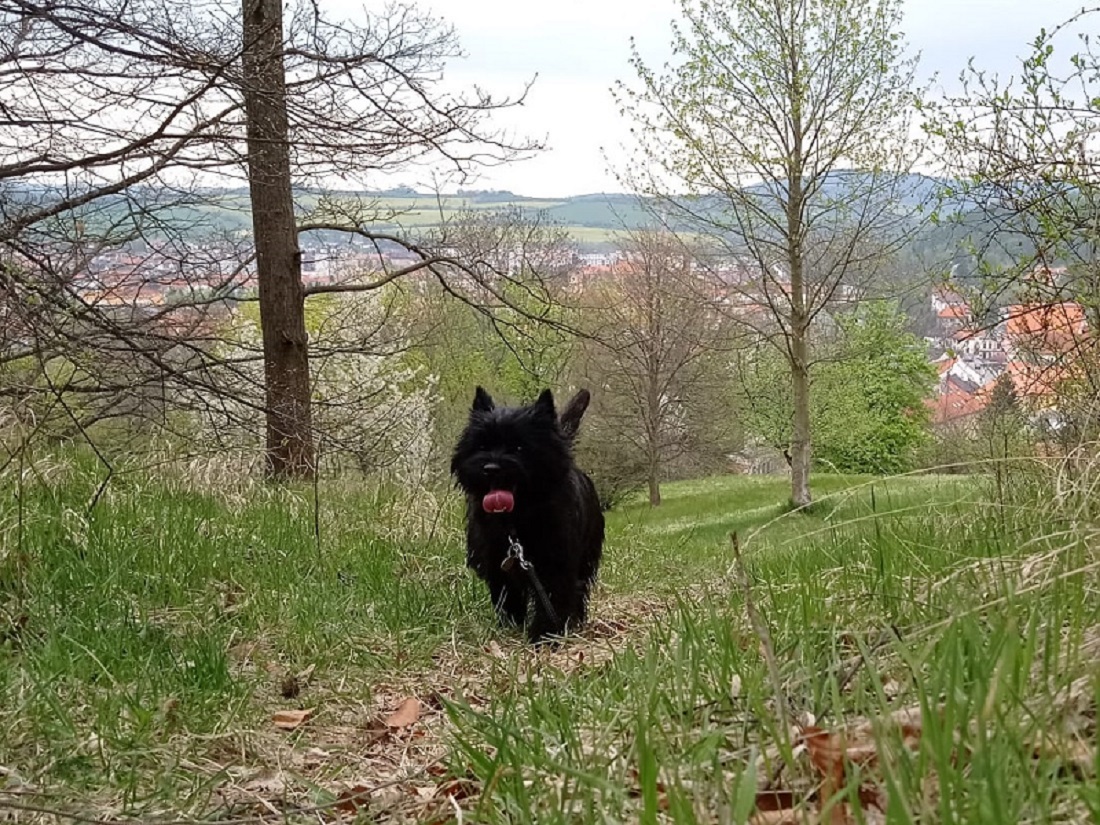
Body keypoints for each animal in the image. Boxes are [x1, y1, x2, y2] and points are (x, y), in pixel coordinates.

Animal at [450, 387, 604, 643]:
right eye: (482, 446)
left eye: (519, 448)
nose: (491, 468)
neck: (515, 520)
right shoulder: (497, 566)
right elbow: (507, 597)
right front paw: (510, 626)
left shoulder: (556, 563)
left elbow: (554, 596)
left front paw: (545, 635)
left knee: (580, 589)